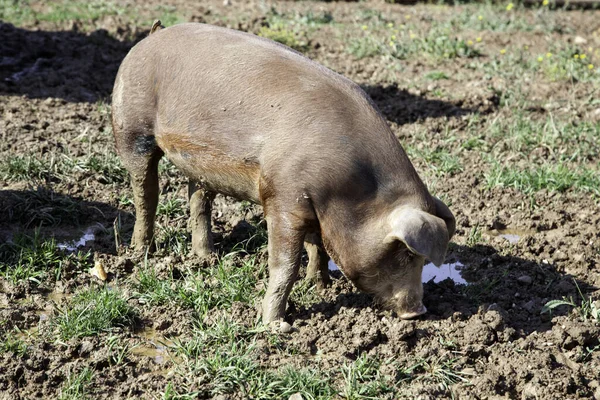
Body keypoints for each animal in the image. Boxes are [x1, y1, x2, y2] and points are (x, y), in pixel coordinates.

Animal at [111, 22, 454, 324]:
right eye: (405, 254)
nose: (418, 311)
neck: (353, 191)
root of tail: (152, 36)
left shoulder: (315, 207)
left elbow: (319, 248)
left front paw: (320, 285)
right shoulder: (283, 197)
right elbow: (284, 264)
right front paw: (275, 323)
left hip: (202, 163)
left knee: (198, 200)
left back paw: (208, 257)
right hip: (131, 128)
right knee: (146, 193)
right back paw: (140, 252)